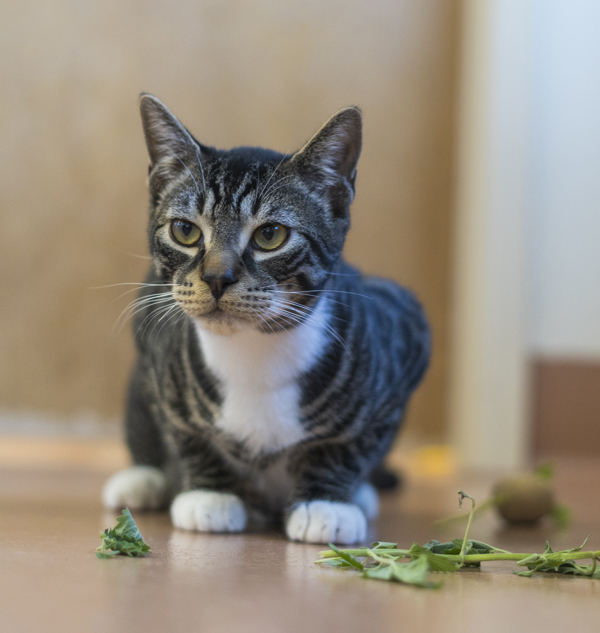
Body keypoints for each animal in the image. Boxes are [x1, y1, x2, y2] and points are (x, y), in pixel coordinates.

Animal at [104, 95, 432, 544]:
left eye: (270, 235)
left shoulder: (405, 335)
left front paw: (325, 503)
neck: (252, 352)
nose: (217, 277)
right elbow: (184, 433)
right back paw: (142, 479)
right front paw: (210, 494)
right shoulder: (154, 344)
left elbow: (351, 446)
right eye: (185, 230)